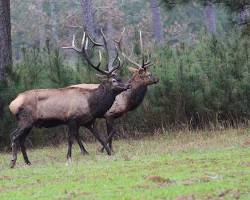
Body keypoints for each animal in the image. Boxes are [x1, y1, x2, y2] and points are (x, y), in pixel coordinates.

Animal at [8, 30, 130, 167]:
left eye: (120, 78)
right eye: (114, 80)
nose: (128, 85)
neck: (91, 105)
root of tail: (12, 104)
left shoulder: (88, 121)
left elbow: (100, 137)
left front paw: (108, 152)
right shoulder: (72, 119)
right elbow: (71, 139)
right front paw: (69, 157)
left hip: (29, 123)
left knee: (21, 139)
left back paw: (28, 162)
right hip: (25, 119)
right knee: (14, 136)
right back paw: (13, 161)